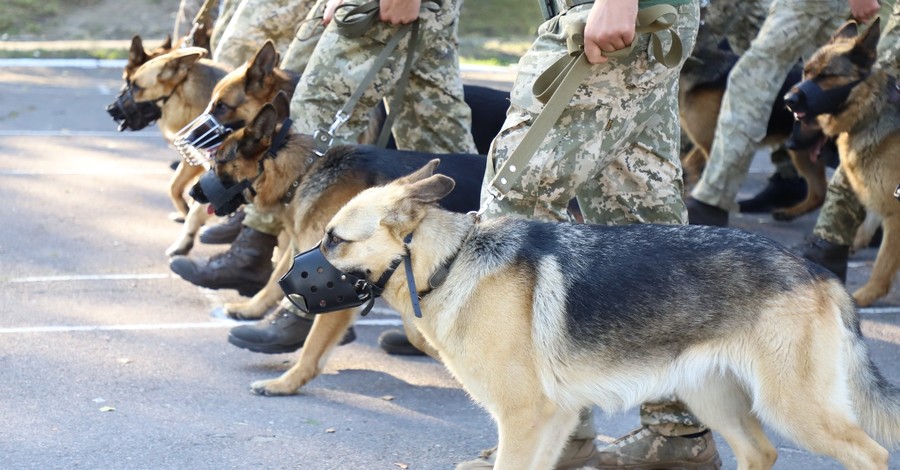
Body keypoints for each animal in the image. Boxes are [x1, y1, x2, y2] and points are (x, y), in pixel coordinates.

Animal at [298, 161, 900, 466]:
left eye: (333, 240)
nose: (285, 285)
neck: (450, 262)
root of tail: (818, 272)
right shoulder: (552, 422)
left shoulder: (525, 419)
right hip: (713, 396)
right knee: (761, 451)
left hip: (793, 406)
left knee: (869, 453)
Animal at [680, 23, 828, 218]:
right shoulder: (708, 140)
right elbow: (688, 162)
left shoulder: (713, 141)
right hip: (802, 150)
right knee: (819, 193)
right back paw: (788, 213)